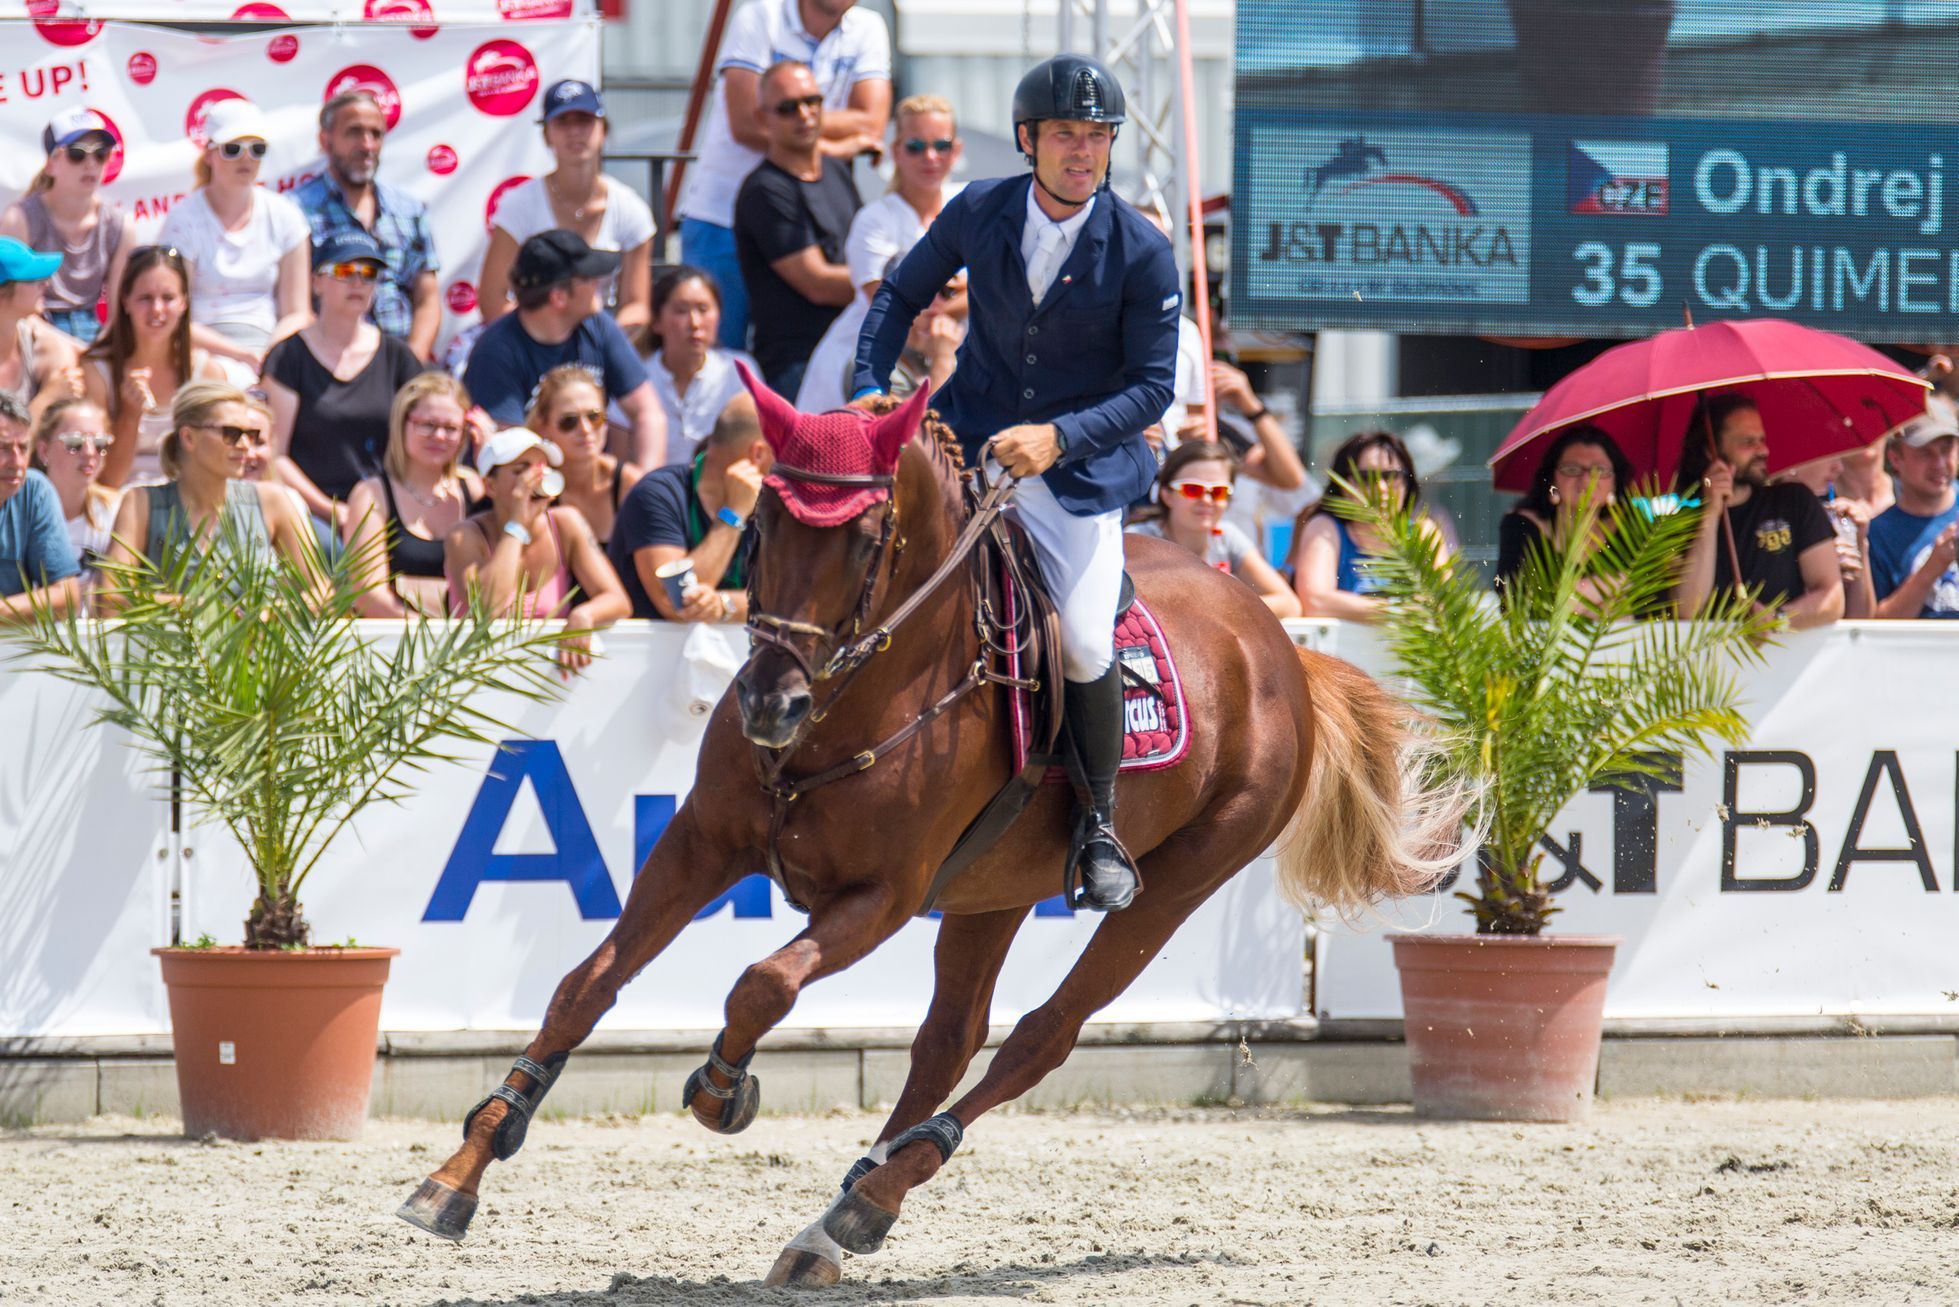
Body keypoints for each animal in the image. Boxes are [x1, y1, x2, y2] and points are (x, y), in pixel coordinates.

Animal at [401, 376, 1473, 1285]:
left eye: (868, 535)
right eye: (759, 520)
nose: (768, 705)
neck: (853, 698)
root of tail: (1278, 642)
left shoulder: (880, 897)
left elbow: (761, 983)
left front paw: (720, 1088)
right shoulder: (700, 843)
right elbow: (586, 984)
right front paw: (460, 1169)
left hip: (1177, 881)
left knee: (1037, 1036)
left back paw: (870, 1198)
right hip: (992, 889)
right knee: (946, 1038)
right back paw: (836, 1218)